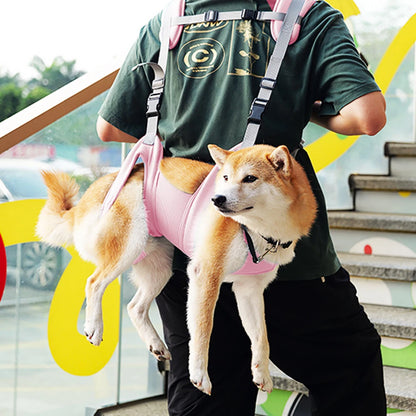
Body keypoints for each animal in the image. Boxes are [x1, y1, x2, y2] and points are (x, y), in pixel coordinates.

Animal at [36, 145, 316, 394]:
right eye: (225, 178)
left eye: (250, 178)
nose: (217, 199)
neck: (259, 232)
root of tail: (100, 183)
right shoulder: (206, 275)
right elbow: (203, 331)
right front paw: (199, 375)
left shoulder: (249, 290)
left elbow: (261, 337)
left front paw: (262, 374)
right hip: (128, 246)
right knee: (94, 282)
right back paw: (94, 327)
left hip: (160, 268)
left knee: (134, 307)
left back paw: (155, 343)